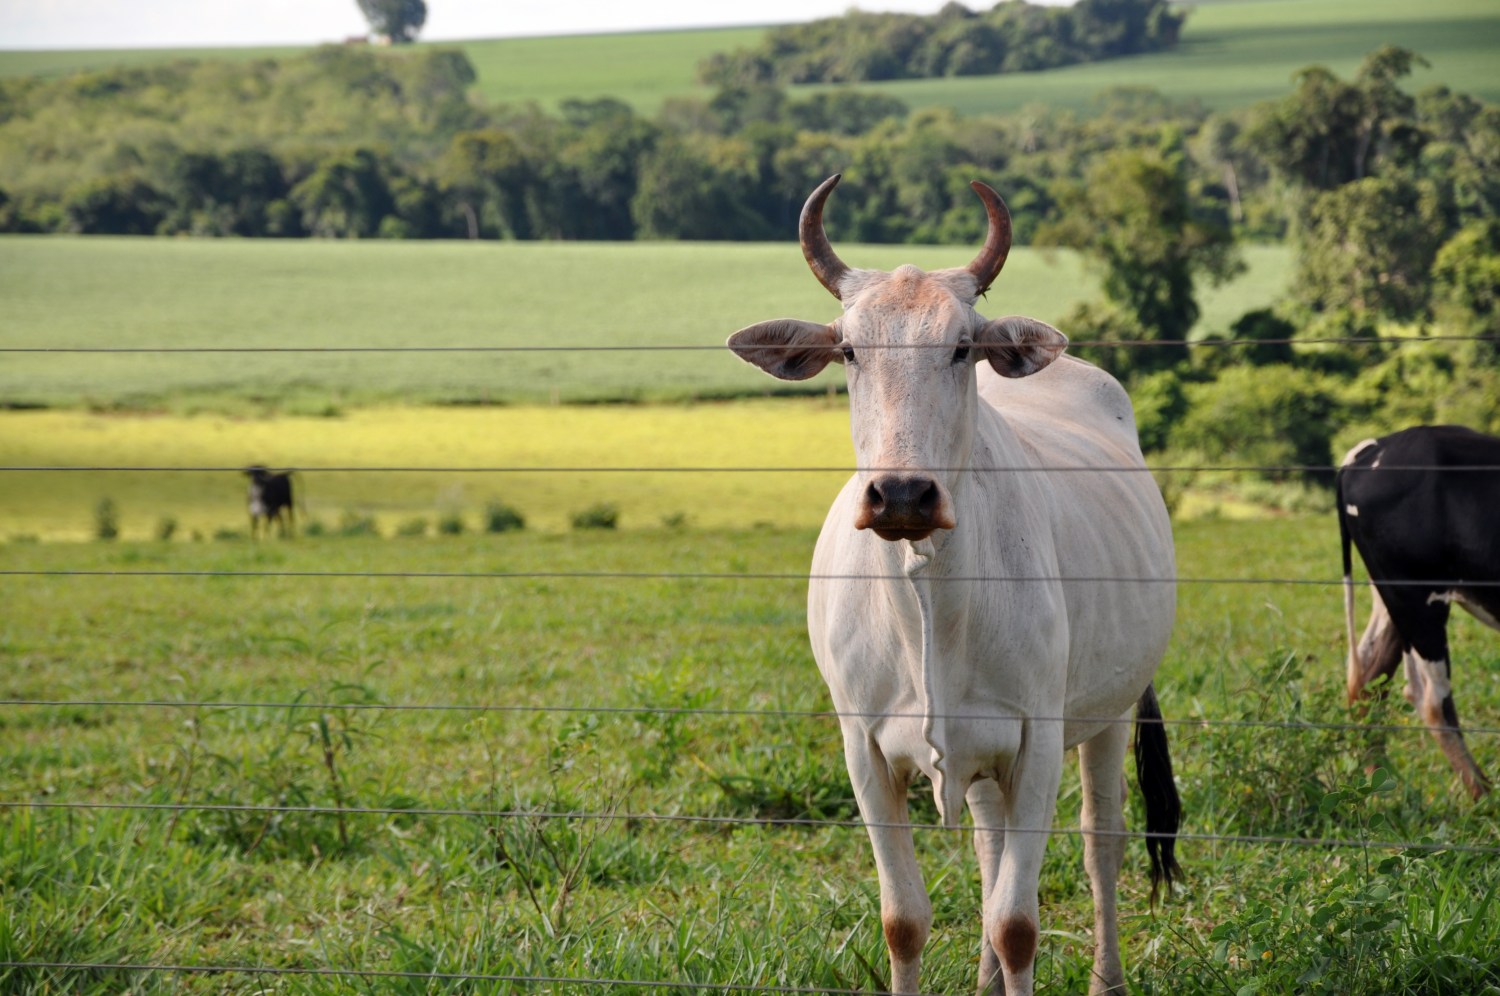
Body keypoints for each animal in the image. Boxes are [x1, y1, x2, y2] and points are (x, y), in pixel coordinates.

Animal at [729, 177, 1182, 996]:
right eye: (849, 348)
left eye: (962, 346)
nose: (903, 494)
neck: (927, 597)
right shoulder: (864, 748)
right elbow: (905, 920)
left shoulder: (1038, 739)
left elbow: (1018, 922)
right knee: (990, 842)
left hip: (1109, 710)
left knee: (1101, 843)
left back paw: (1106, 979)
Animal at [1338, 423, 1500, 798]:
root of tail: (1374, 447)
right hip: (1416, 599)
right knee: (1431, 698)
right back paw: (1485, 796)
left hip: (1391, 596)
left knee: (1368, 678)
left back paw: (1379, 789)